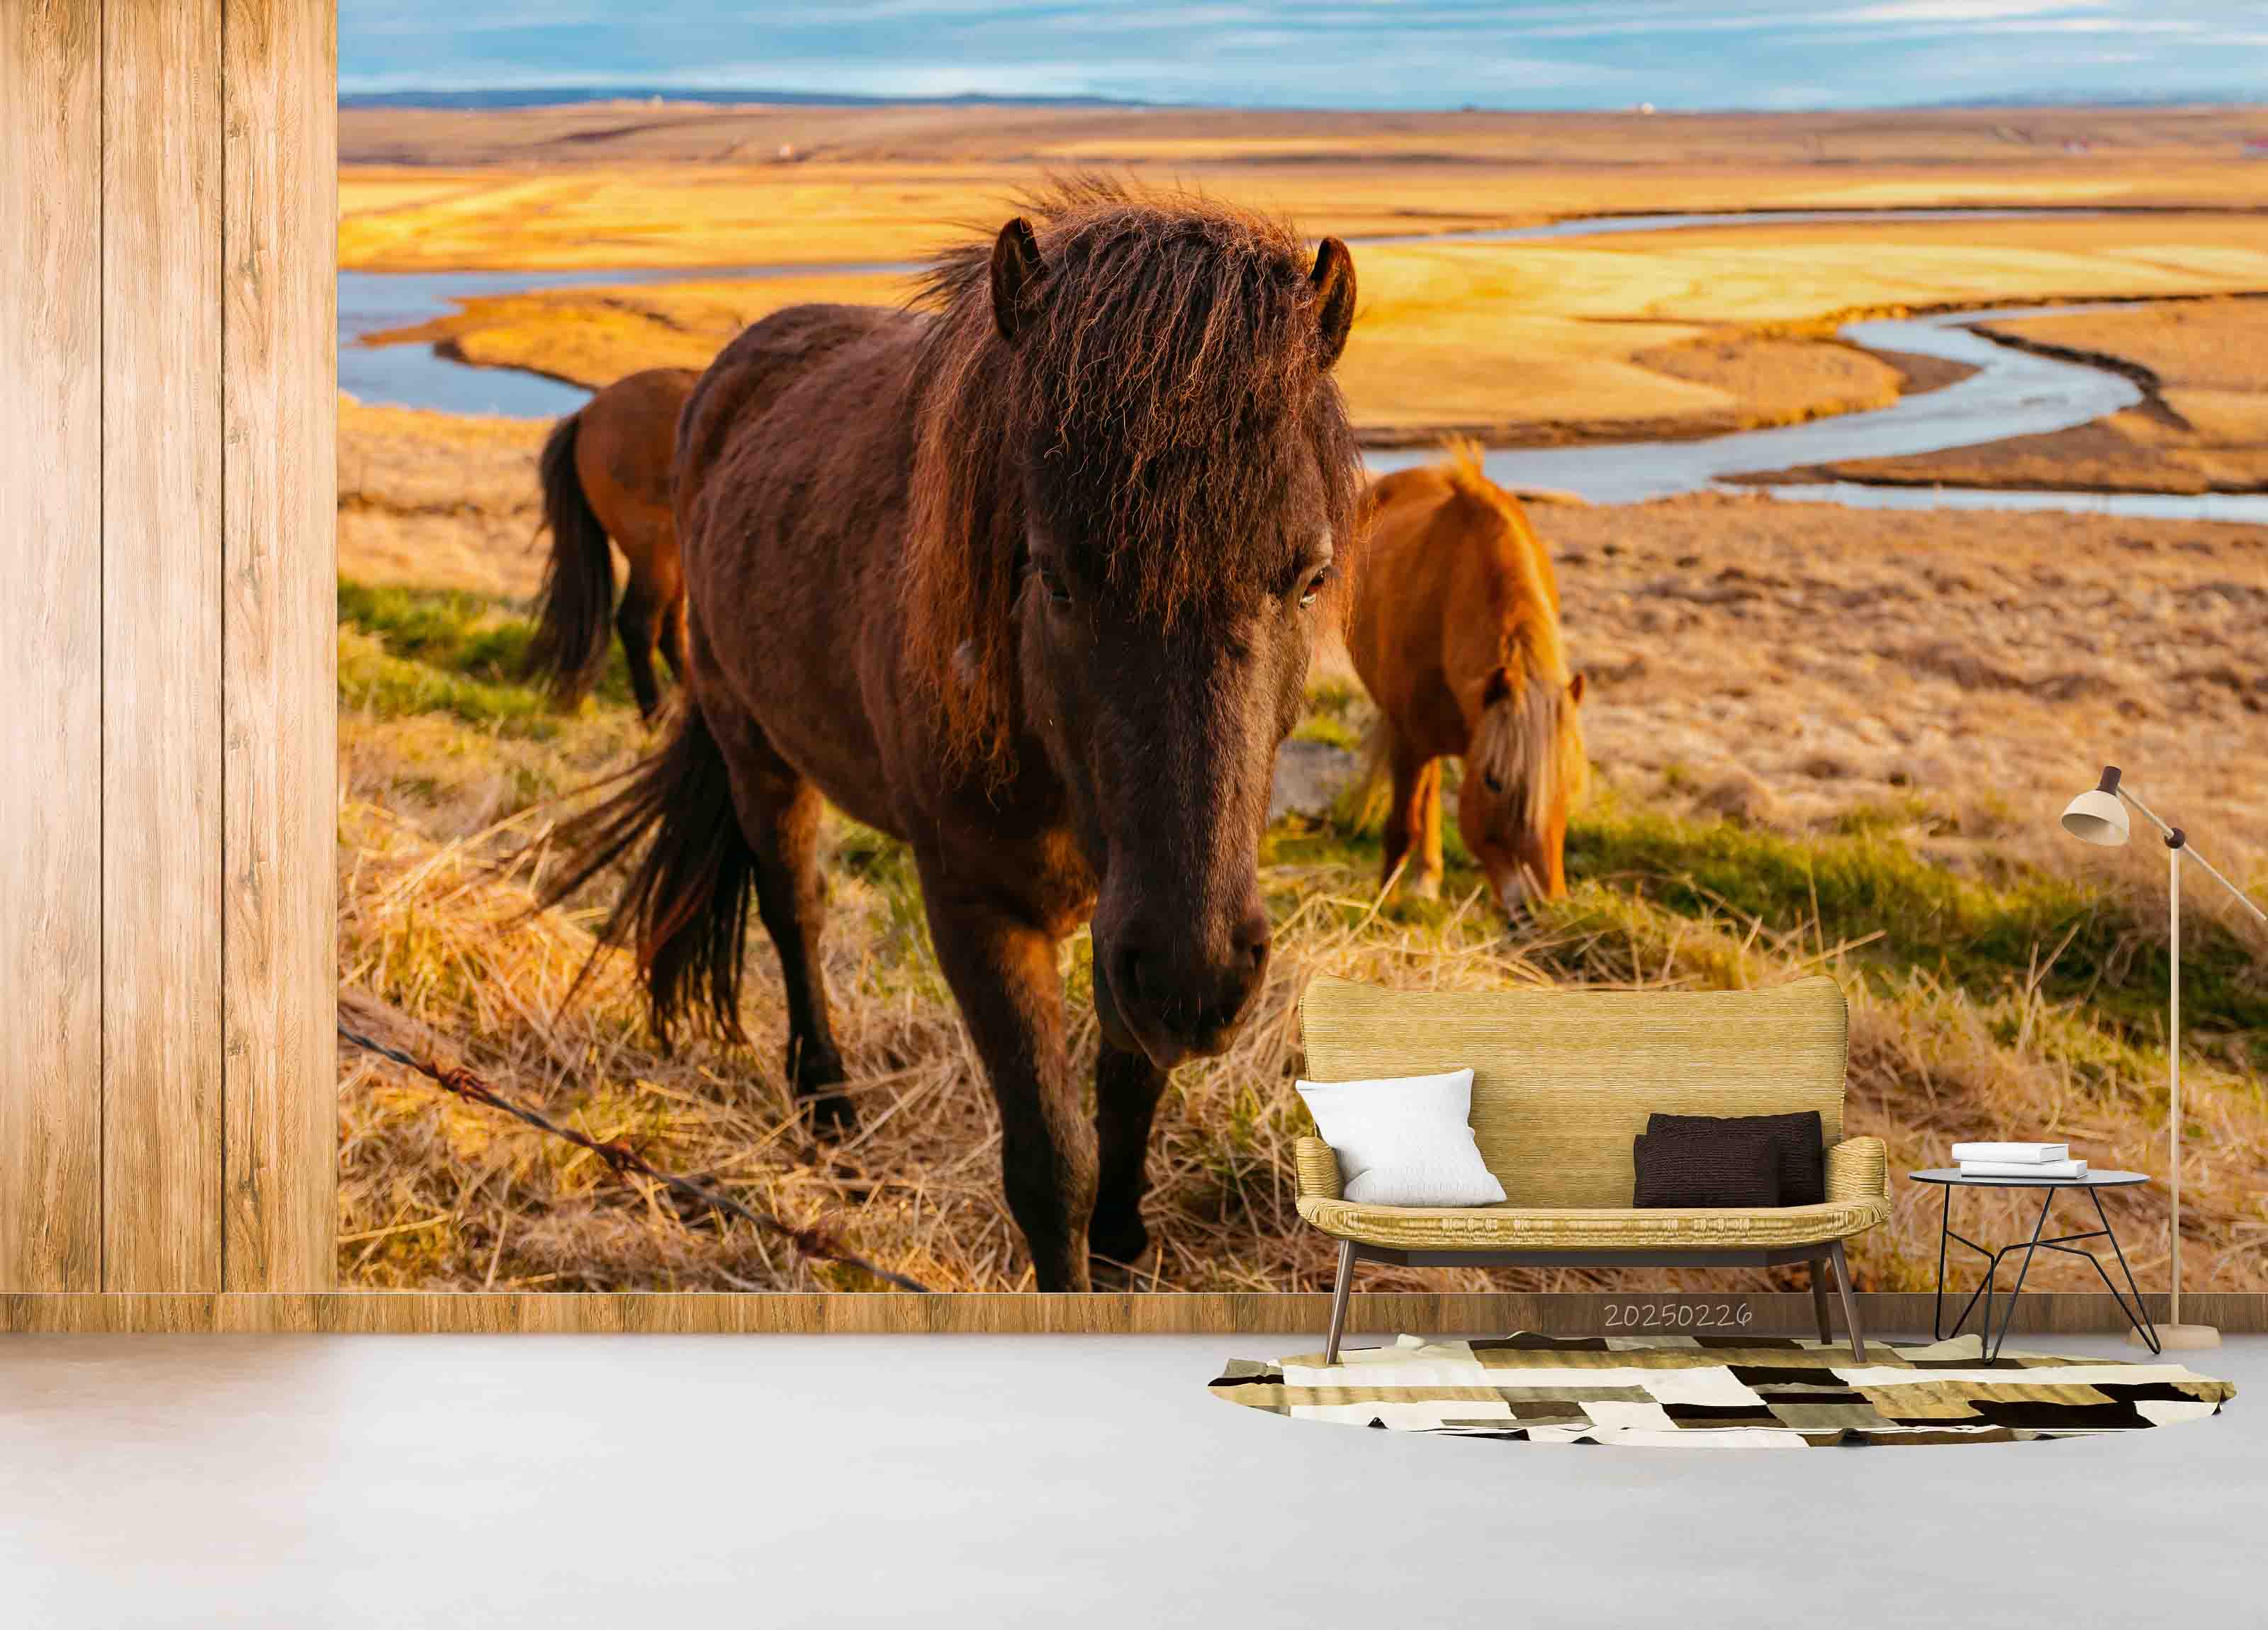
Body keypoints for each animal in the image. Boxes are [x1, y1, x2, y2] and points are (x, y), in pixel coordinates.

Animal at [543, 179, 1362, 1291]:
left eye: (1311, 576)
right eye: (1053, 577)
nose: (1199, 981)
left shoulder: (1132, 922)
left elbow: (1129, 1092)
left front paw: (1122, 1245)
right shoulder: (980, 910)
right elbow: (1049, 1163)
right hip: (756, 747)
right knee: (793, 911)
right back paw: (828, 1103)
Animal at [1347, 446, 1587, 912]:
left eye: (1567, 783)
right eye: (1493, 782)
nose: (1541, 907)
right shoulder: (1410, 741)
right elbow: (1400, 827)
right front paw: (1381, 907)